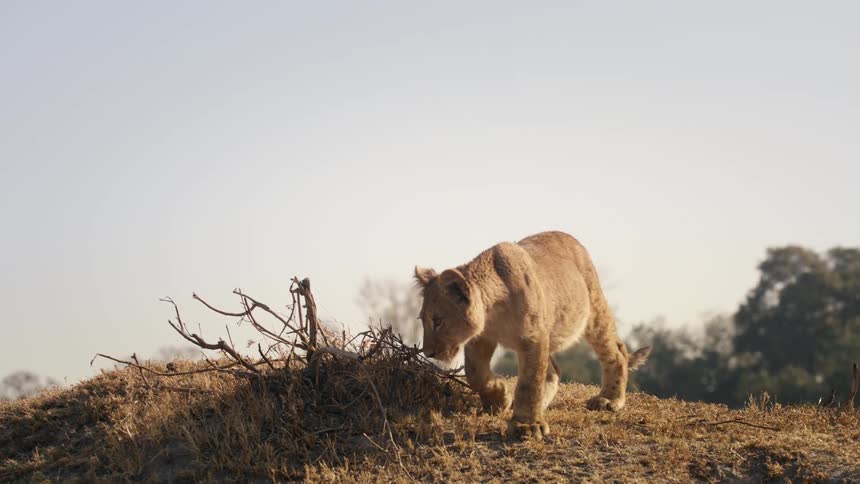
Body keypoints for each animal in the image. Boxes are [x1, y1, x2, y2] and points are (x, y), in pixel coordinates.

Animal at [414, 231, 650, 439]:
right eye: (422, 320)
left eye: (438, 321)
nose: (428, 352)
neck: (494, 313)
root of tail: (572, 239)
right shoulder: (481, 338)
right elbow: (475, 374)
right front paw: (500, 399)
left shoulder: (533, 337)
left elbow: (530, 382)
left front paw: (526, 425)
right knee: (553, 371)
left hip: (593, 309)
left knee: (616, 351)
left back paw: (608, 400)